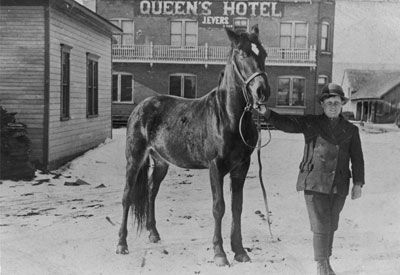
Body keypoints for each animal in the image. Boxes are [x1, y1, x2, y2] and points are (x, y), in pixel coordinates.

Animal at [117, 26, 270, 268]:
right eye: (242, 54)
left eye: (263, 54)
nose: (262, 91)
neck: (228, 117)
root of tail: (141, 107)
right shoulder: (215, 168)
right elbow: (219, 207)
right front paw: (219, 253)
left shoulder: (241, 167)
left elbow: (237, 207)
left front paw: (240, 251)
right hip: (134, 159)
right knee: (127, 196)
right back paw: (122, 244)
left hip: (161, 162)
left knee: (151, 191)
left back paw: (153, 233)